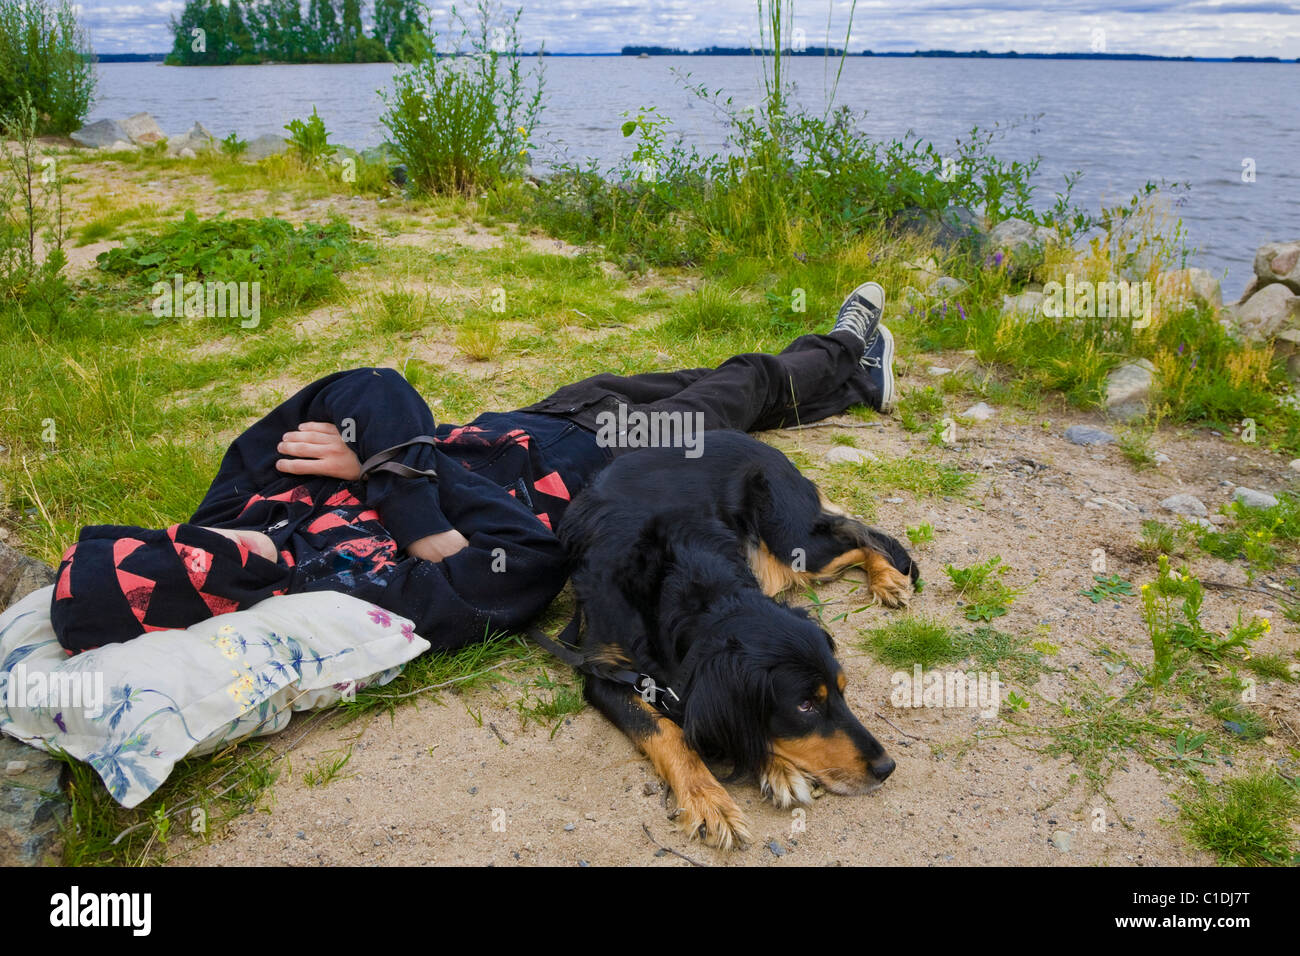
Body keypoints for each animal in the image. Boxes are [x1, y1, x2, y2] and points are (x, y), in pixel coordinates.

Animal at [546, 429, 915, 848]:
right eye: (805, 705)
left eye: (843, 690)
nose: (886, 767)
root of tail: (758, 443)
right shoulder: (602, 673)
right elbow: (668, 731)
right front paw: (710, 800)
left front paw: (773, 768)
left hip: (794, 546)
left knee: (859, 537)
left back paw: (888, 579)